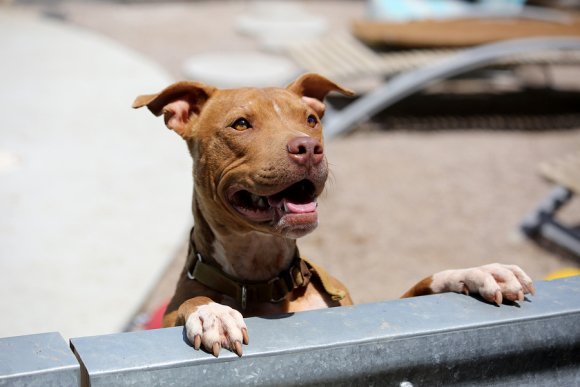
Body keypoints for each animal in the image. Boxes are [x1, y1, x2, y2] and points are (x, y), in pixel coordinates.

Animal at [134, 73, 536, 358]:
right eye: (241, 124)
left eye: (311, 119)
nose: (308, 147)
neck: (263, 274)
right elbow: (191, 303)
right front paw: (212, 313)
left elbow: (423, 283)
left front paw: (481, 272)